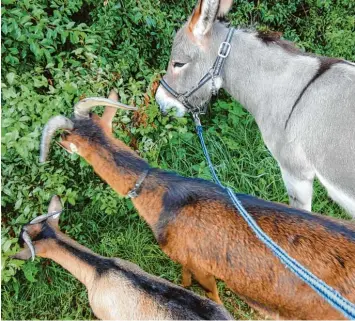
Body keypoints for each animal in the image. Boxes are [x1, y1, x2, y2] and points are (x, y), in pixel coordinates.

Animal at [38, 91, 355, 318]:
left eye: (65, 139)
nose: (57, 151)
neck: (165, 199)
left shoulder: (201, 265)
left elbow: (209, 292)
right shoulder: (186, 260)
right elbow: (185, 279)